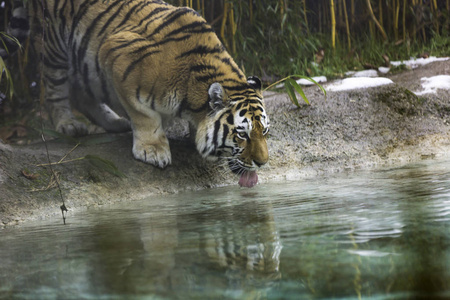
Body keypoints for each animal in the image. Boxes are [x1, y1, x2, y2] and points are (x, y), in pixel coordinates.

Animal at [1, 0, 268, 188]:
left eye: (264, 132)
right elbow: (144, 116)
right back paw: (68, 124)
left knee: (82, 93)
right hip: (55, 46)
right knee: (55, 87)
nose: (263, 163)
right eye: (241, 135)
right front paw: (153, 150)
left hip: (87, 65)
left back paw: (114, 122)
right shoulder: (118, 56)